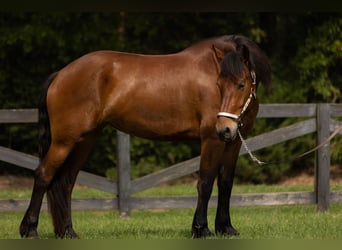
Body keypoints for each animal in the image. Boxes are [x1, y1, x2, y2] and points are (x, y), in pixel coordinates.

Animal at [20, 34, 272, 238]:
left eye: (241, 84)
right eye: (219, 83)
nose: (224, 128)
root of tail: (61, 74)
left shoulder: (234, 142)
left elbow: (226, 183)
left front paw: (226, 228)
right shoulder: (212, 139)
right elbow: (206, 183)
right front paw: (201, 229)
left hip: (84, 140)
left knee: (65, 182)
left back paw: (68, 232)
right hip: (64, 141)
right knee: (43, 175)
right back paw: (30, 230)